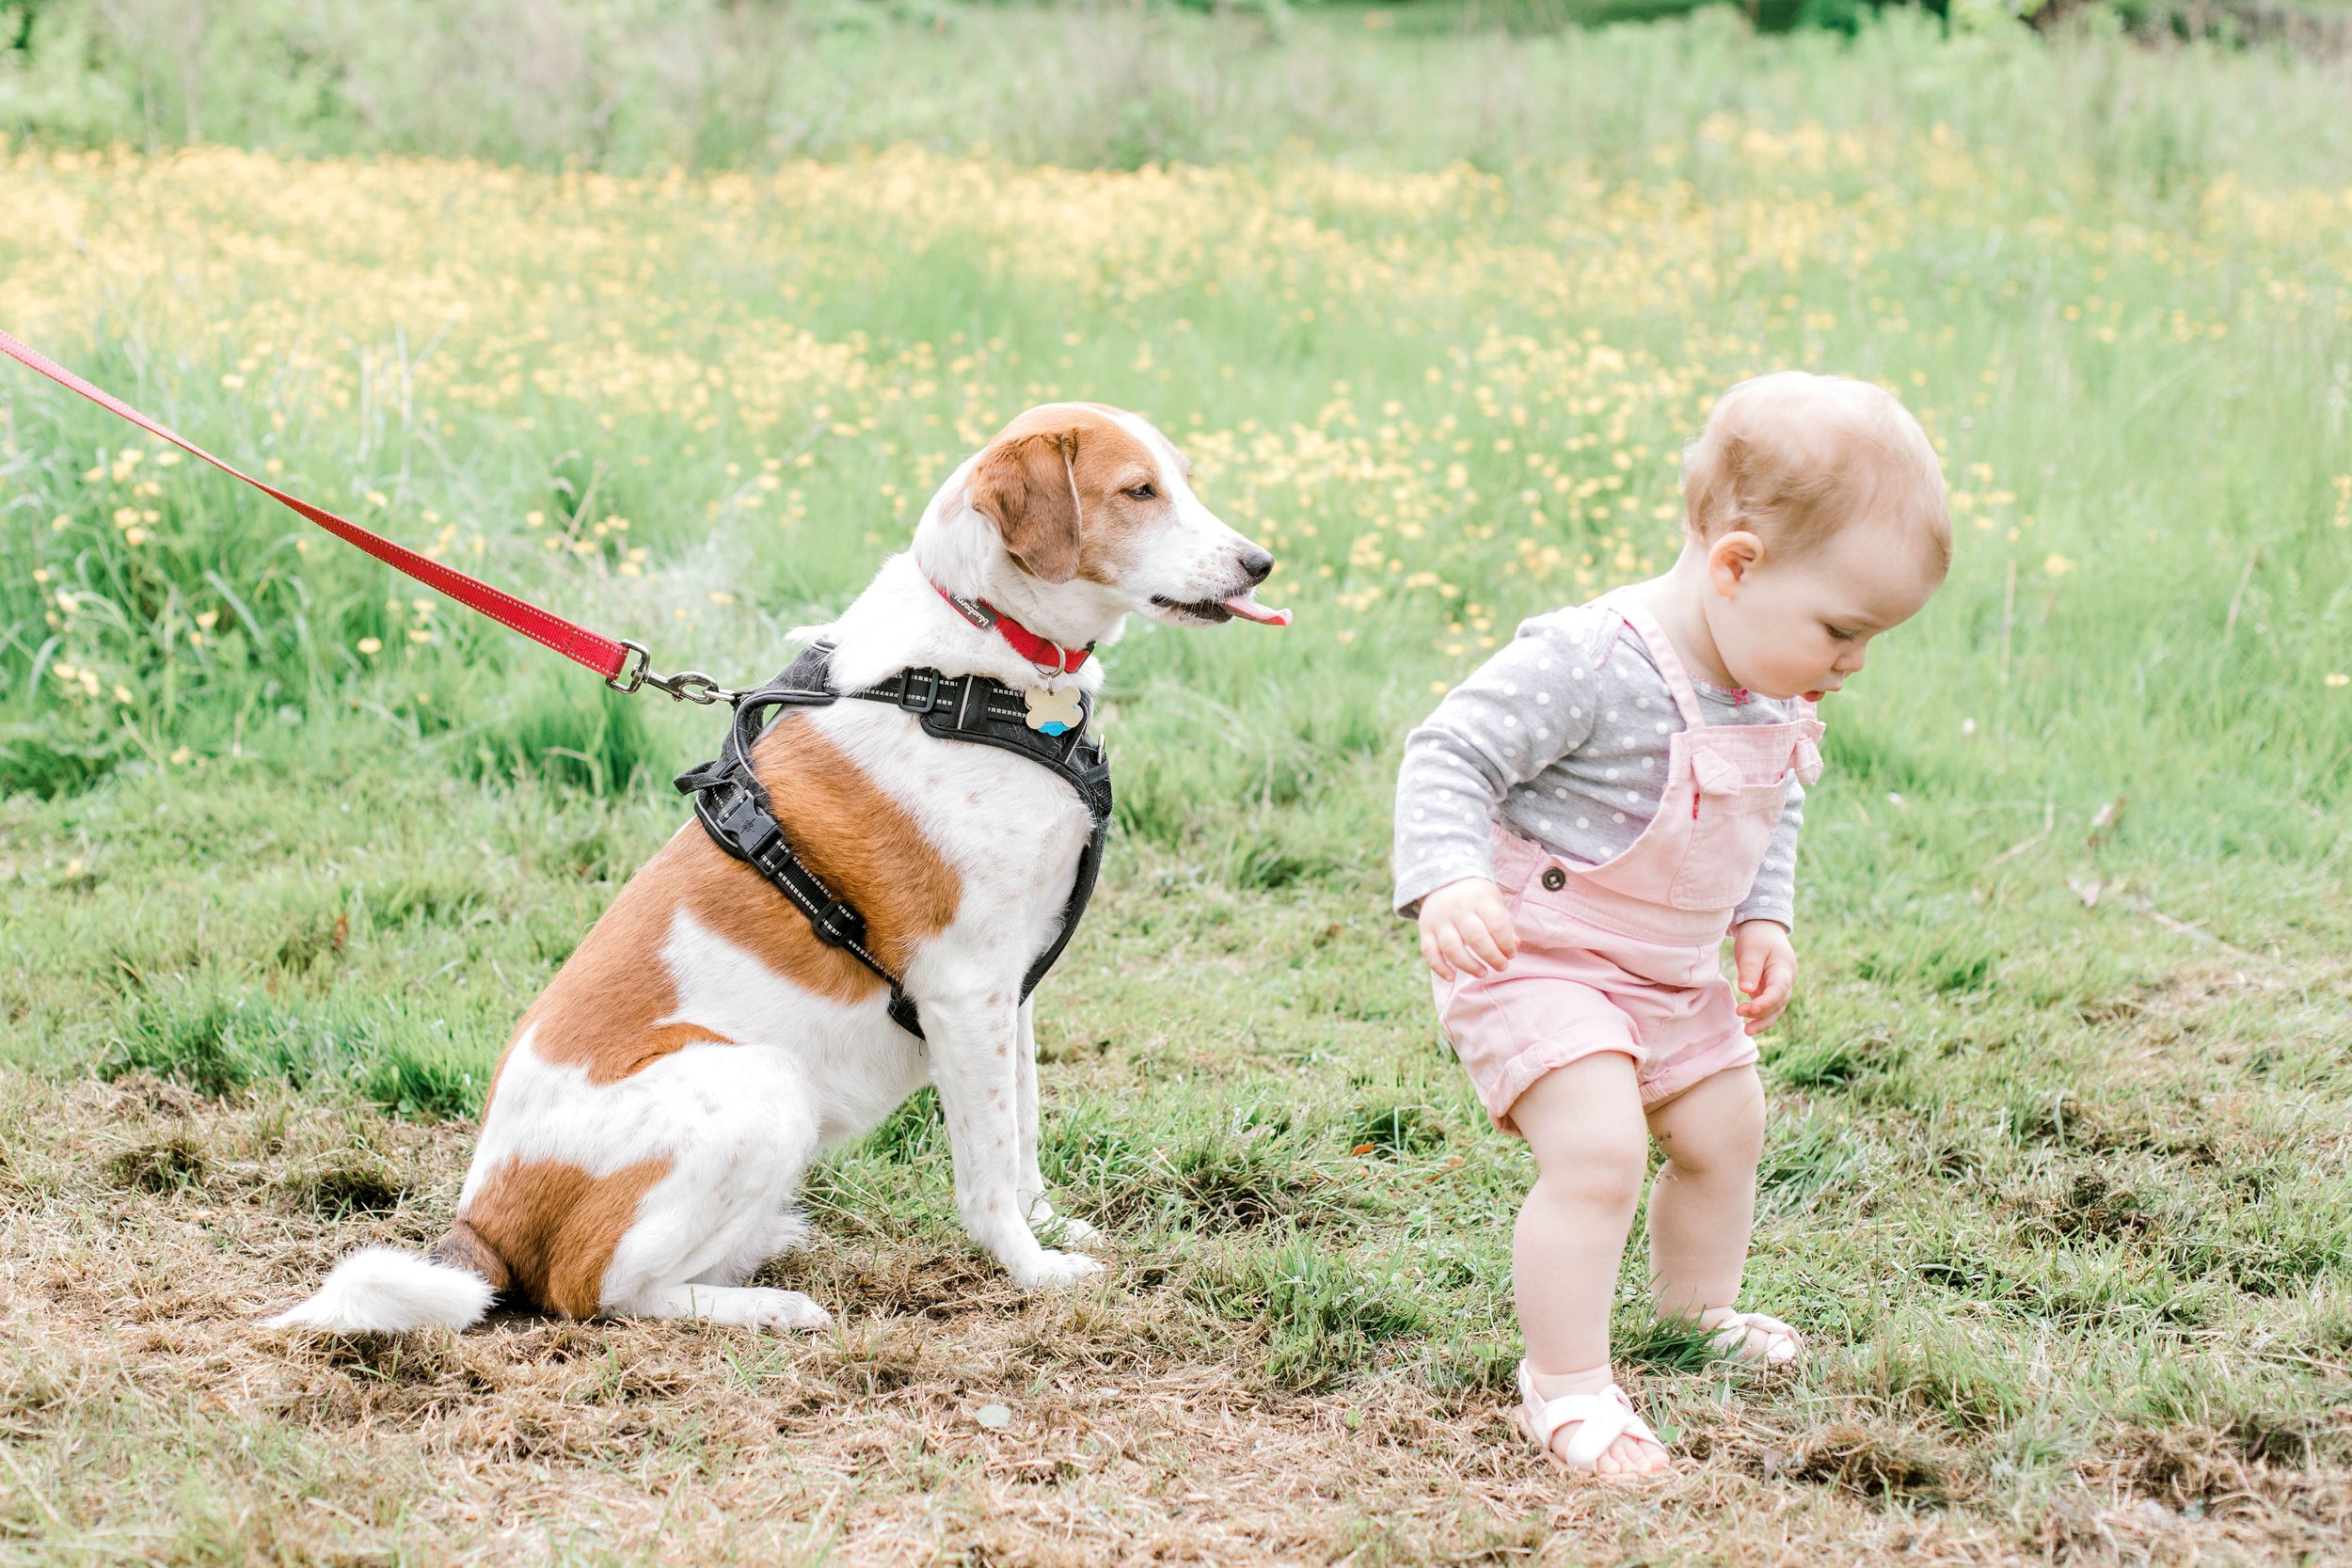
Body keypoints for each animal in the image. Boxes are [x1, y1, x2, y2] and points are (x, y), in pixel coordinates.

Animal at [273, 404, 1289, 1335]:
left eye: (1181, 480)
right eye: (1138, 492)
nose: (1260, 563)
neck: (977, 671)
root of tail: (479, 1221)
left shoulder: (1014, 990)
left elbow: (1023, 1129)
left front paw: (1050, 1225)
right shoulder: (965, 991)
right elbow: (987, 1172)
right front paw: (1031, 1269)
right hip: (758, 1083)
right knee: (605, 1290)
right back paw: (771, 1302)